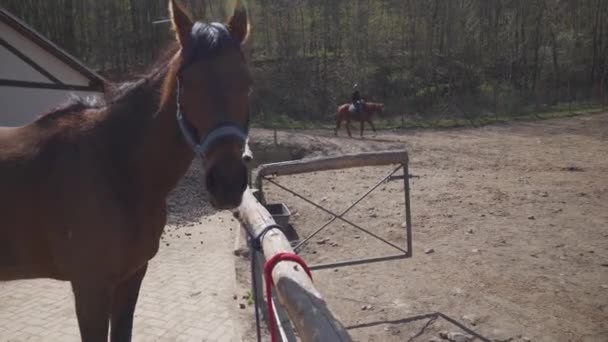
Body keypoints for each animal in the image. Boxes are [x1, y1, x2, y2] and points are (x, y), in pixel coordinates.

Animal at [0, 1, 252, 340]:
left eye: (247, 83)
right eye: (185, 81)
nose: (228, 183)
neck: (115, 166)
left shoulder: (131, 277)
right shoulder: (90, 288)